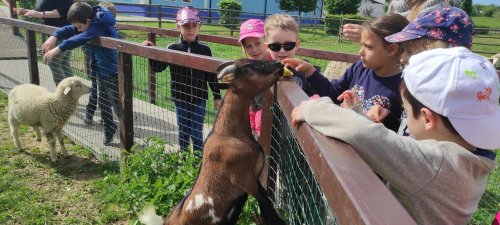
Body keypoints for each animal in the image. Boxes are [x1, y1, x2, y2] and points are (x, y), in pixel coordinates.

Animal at [139, 59, 288, 225]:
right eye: (250, 67)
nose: (279, 64)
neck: (228, 133)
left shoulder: (247, 187)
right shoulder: (245, 179)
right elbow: (266, 205)